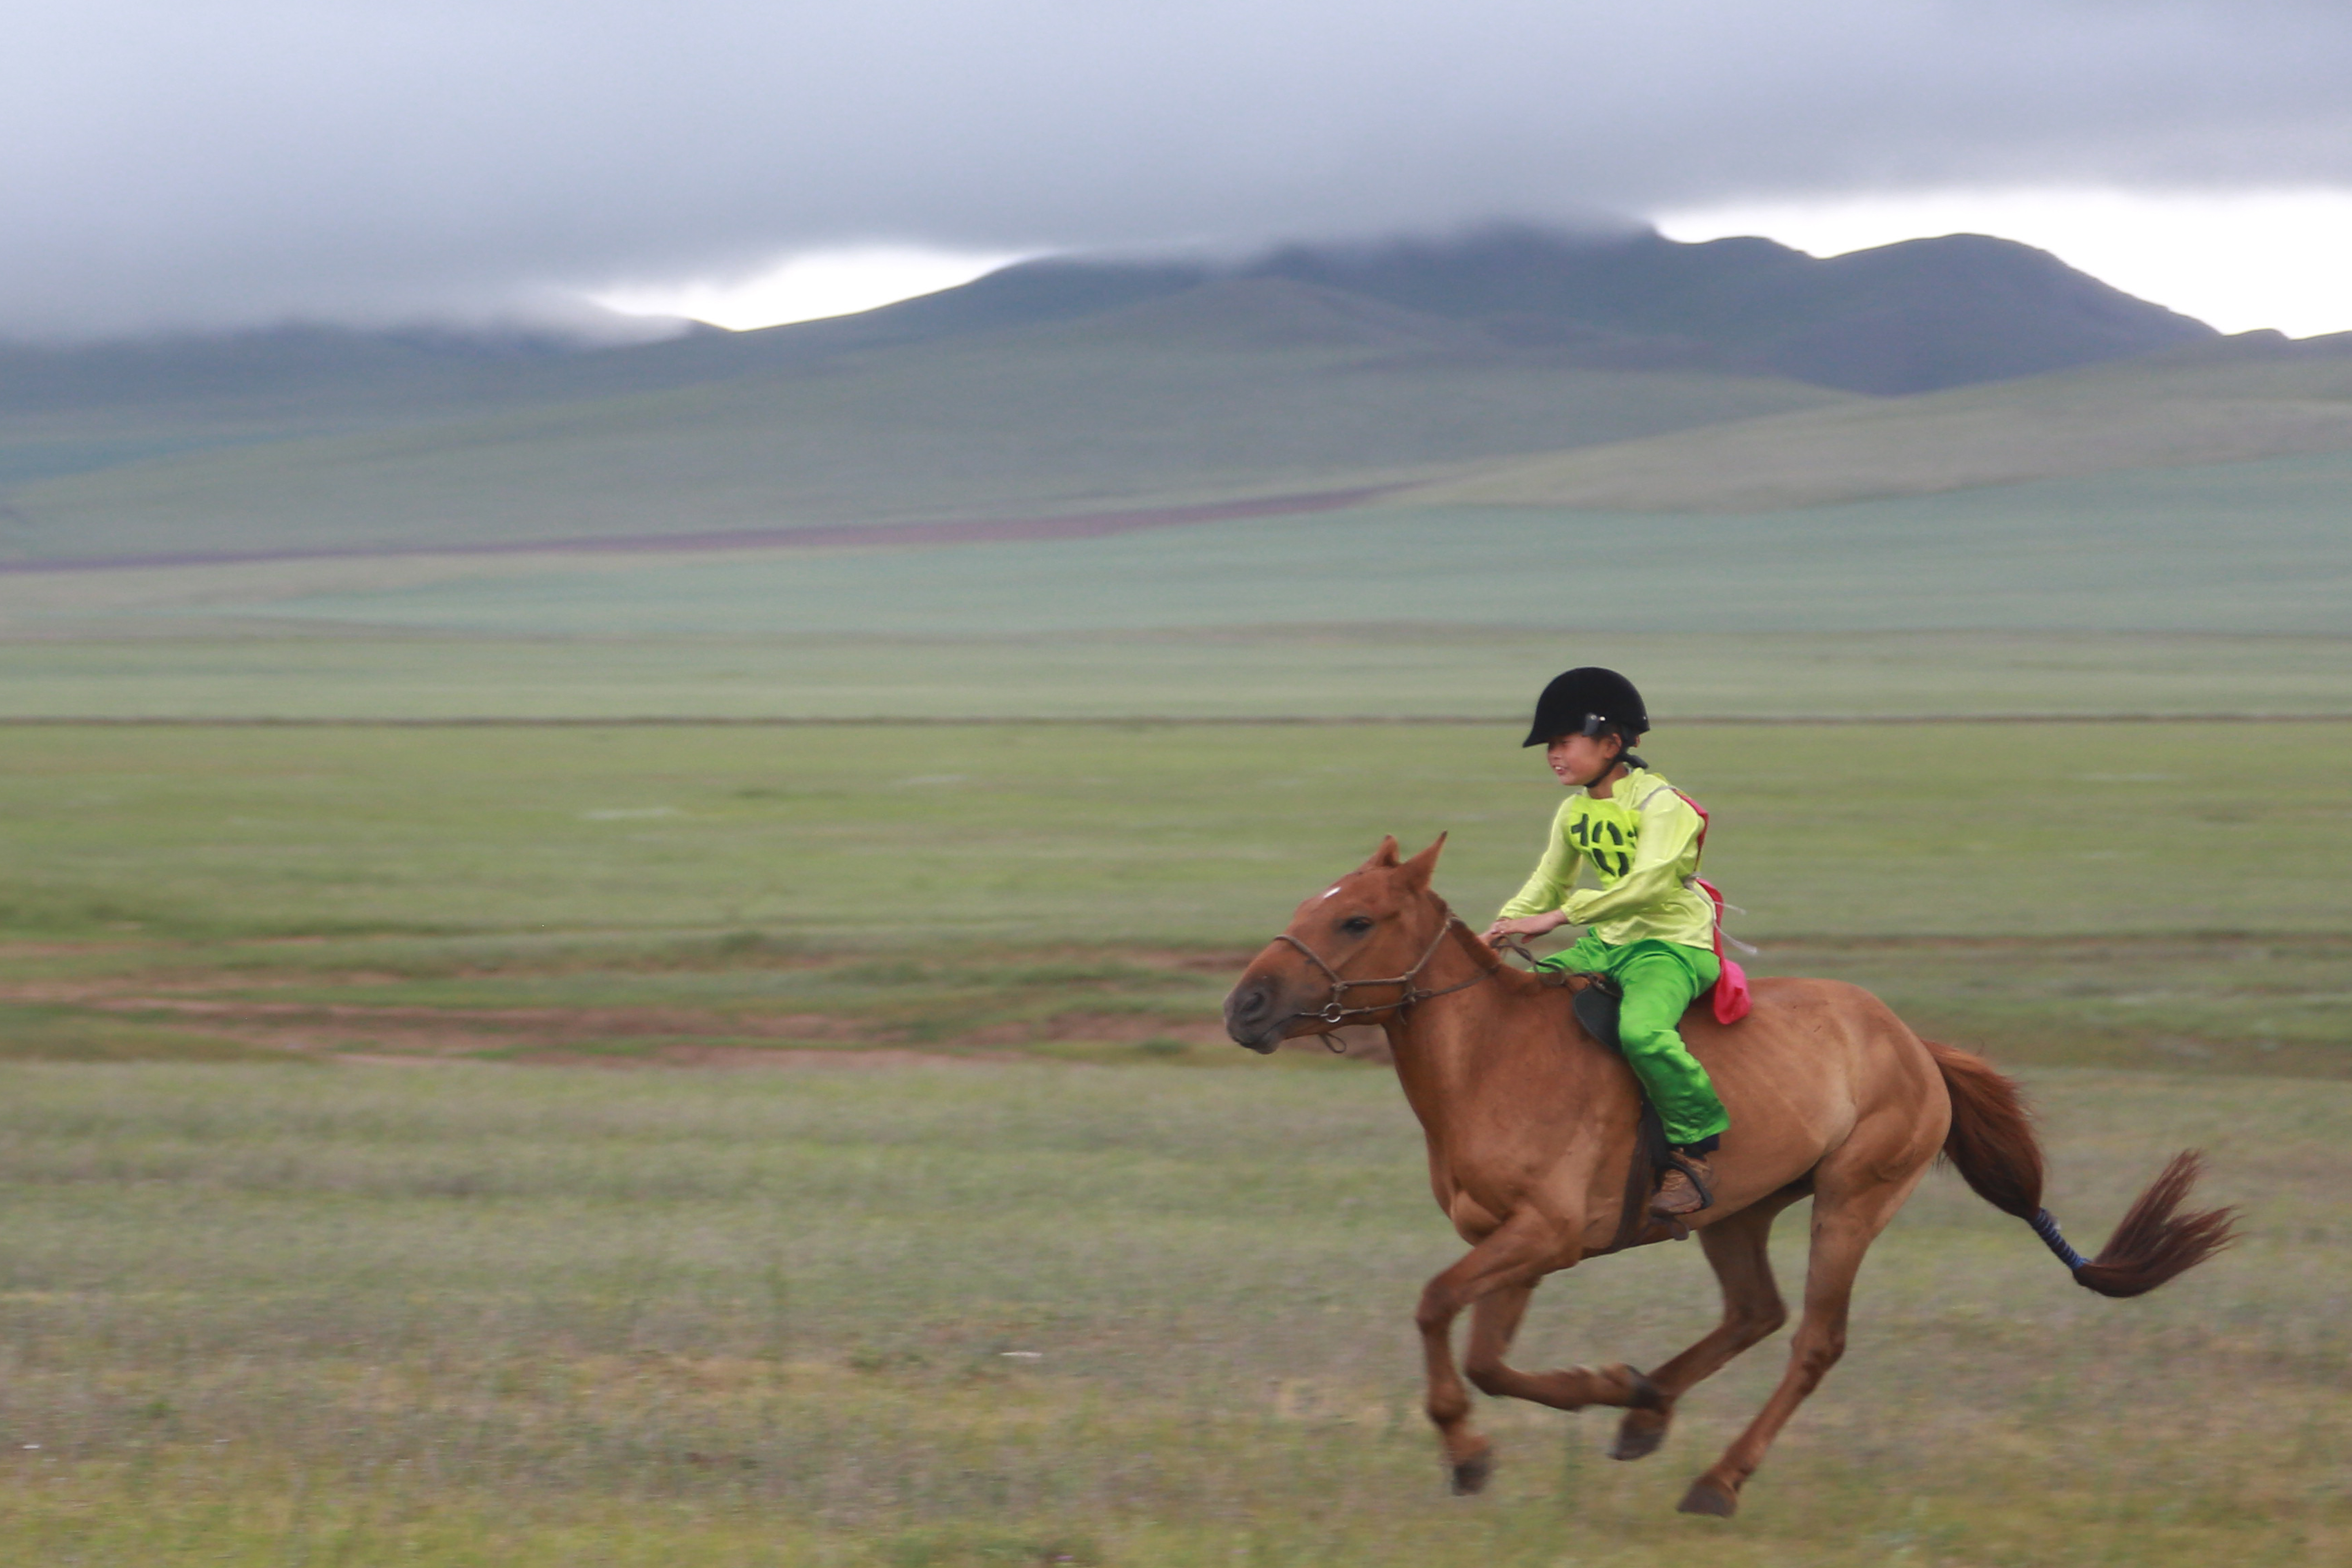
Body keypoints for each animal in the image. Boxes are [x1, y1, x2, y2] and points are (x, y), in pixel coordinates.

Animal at [1221, 835, 2236, 1516]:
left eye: (1355, 918)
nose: (1245, 1008)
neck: (1494, 1061)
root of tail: (1915, 1043)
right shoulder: (1514, 1244)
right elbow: (1489, 1358)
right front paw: (1606, 1394)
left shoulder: (1544, 1235)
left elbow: (1438, 1310)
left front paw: (1476, 1450)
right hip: (1737, 1211)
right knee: (1757, 1312)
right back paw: (1650, 1413)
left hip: (1853, 1201)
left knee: (1813, 1341)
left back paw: (1717, 1480)